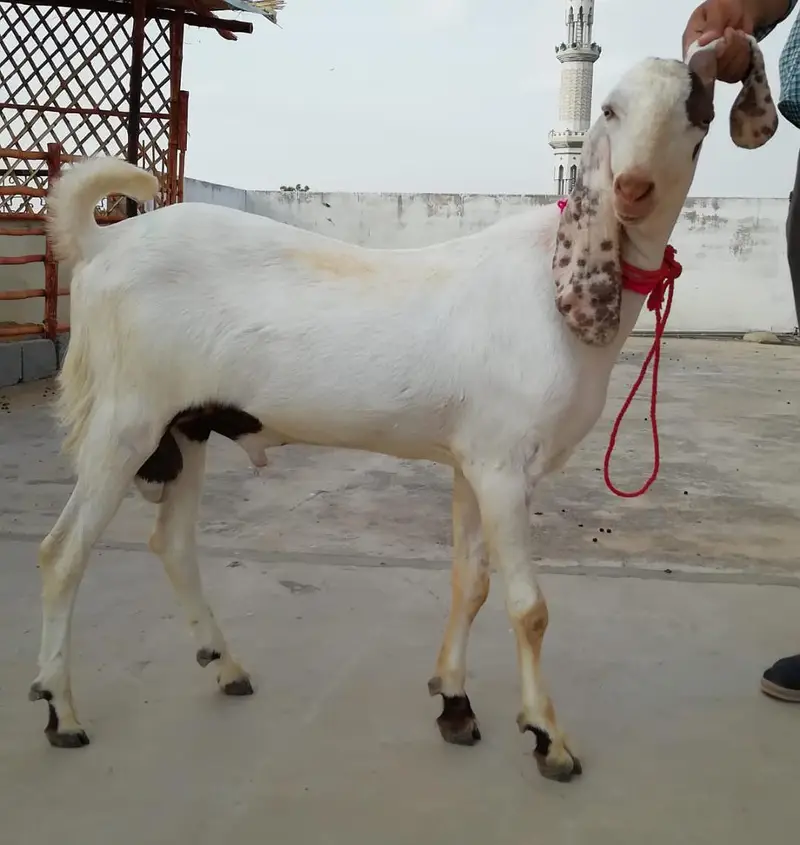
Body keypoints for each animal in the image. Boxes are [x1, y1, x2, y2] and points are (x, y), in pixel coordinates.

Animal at [30, 39, 776, 781]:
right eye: (613, 109)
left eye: (698, 113)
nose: (632, 189)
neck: (554, 288)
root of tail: (102, 243)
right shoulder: (504, 465)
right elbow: (528, 607)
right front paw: (548, 738)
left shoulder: (473, 460)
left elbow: (469, 583)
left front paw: (455, 703)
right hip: (126, 417)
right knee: (62, 552)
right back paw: (62, 713)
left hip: (187, 425)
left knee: (173, 544)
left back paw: (226, 667)